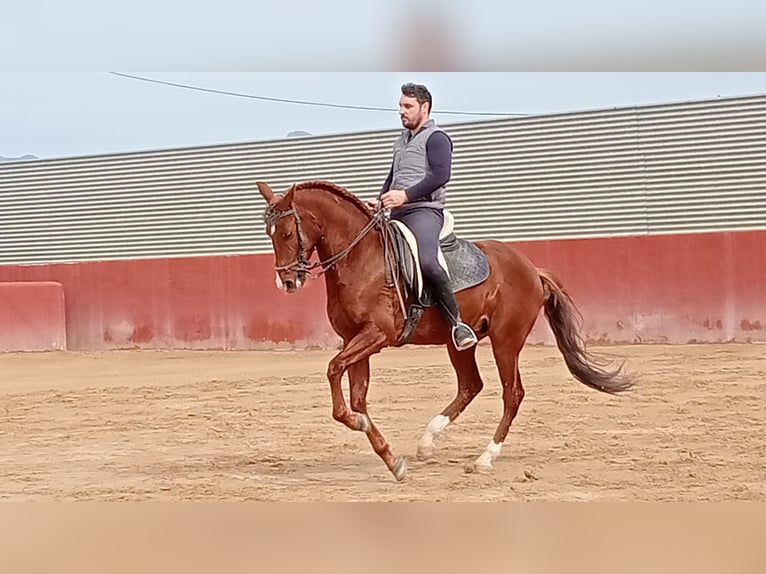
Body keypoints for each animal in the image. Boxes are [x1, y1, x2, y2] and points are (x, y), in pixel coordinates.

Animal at [255, 180, 632, 482]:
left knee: (512, 394)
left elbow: (334, 371)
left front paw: (360, 427)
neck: (360, 258)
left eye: (287, 233)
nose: (286, 282)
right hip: (460, 342)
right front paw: (392, 460)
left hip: (506, 342)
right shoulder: (354, 339)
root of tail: (530, 268)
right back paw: (427, 442)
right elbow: (357, 399)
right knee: (471, 385)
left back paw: (484, 458)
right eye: (270, 235)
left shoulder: (376, 336)